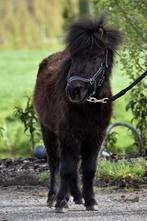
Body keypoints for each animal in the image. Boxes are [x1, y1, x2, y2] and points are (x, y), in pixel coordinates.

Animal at [33, 14, 121, 212]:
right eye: (73, 58)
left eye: (95, 58)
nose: (74, 91)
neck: (88, 106)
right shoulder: (68, 134)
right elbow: (66, 168)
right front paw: (61, 203)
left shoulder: (95, 136)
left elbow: (88, 169)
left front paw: (91, 201)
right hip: (48, 130)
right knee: (55, 163)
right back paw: (53, 197)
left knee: (75, 164)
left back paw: (78, 196)